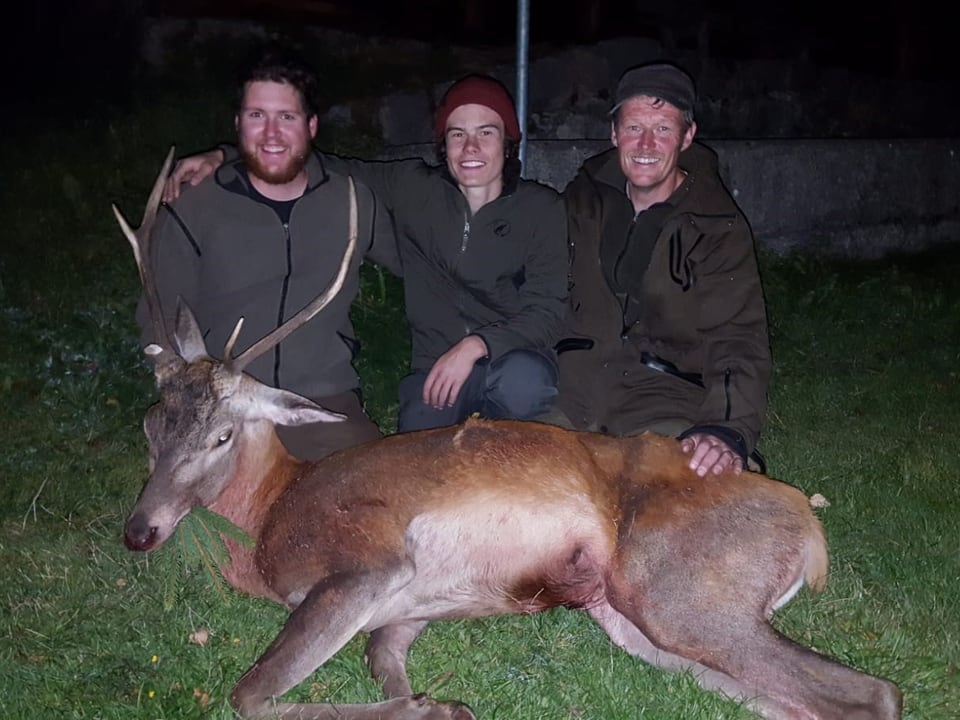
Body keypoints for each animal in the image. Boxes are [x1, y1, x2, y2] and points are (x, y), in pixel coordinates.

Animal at [116, 149, 904, 716]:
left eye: (221, 436)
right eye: (151, 424)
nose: (140, 532)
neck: (273, 512)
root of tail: (808, 524)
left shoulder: (365, 563)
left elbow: (248, 694)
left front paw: (441, 707)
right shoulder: (405, 609)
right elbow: (383, 665)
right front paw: (428, 701)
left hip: (678, 589)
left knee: (874, 692)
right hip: (628, 616)